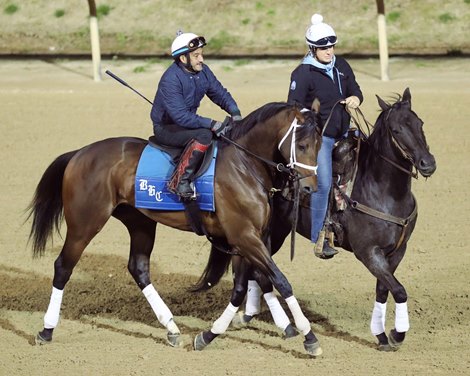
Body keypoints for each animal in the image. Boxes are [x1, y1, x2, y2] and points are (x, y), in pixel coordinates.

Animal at [27, 102, 324, 356]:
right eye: (302, 144)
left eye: (320, 144)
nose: (311, 188)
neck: (244, 166)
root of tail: (79, 153)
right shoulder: (245, 237)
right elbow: (280, 281)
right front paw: (309, 336)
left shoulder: (246, 239)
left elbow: (243, 287)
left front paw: (208, 335)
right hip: (85, 223)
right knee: (63, 266)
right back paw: (47, 329)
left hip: (140, 222)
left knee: (139, 268)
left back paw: (171, 328)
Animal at [194, 89, 436, 352]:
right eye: (396, 130)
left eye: (420, 123)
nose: (428, 163)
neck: (383, 190)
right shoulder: (368, 252)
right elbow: (399, 290)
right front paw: (396, 334)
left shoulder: (397, 251)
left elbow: (384, 290)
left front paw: (382, 335)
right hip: (263, 234)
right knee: (259, 273)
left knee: (257, 273)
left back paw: (255, 318)